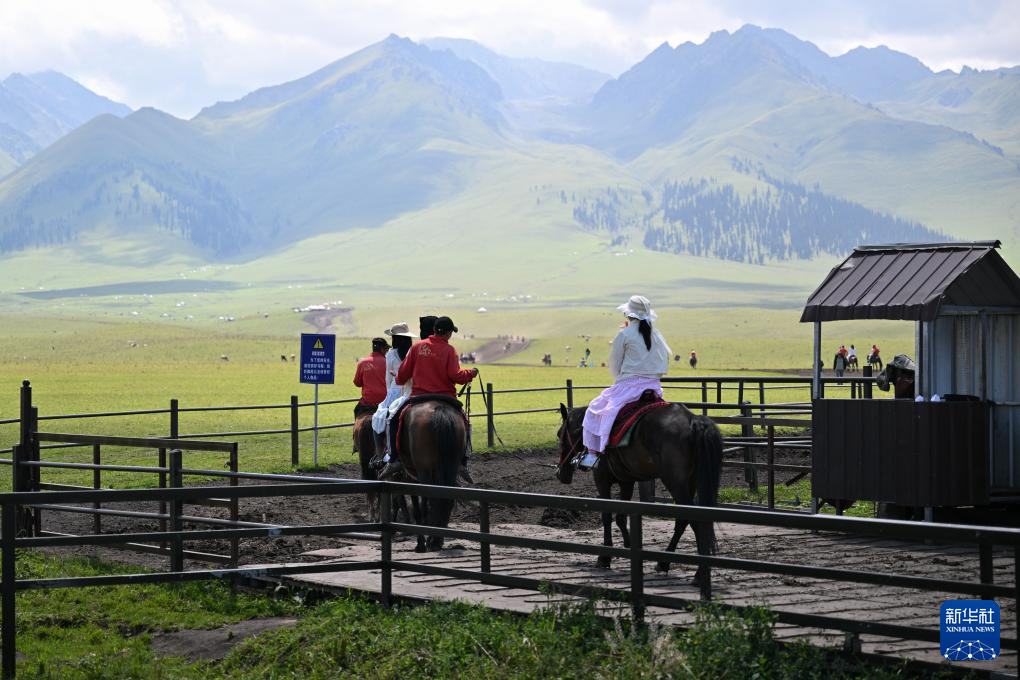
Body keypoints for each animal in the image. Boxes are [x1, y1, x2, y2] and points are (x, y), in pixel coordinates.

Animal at [396, 398, 468, 552]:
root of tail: (440, 410)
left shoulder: (412, 477)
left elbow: (419, 508)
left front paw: (420, 543)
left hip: (425, 470)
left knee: (434, 498)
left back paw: (431, 541)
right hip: (450, 467)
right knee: (446, 498)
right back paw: (437, 540)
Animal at [556, 402, 722, 584]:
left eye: (559, 434)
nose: (560, 473)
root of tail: (693, 420)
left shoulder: (602, 480)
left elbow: (607, 516)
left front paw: (605, 557)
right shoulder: (626, 482)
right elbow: (621, 517)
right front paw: (629, 547)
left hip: (675, 484)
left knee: (694, 521)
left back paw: (699, 574)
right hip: (689, 483)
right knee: (683, 520)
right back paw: (664, 563)